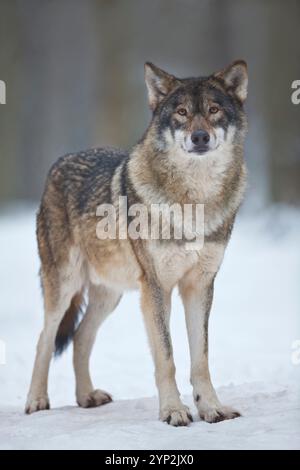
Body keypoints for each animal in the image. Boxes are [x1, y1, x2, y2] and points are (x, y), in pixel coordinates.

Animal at [25, 59, 247, 426]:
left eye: (214, 110)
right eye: (182, 112)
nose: (200, 137)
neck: (194, 201)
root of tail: (58, 163)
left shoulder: (199, 286)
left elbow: (200, 358)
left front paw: (211, 408)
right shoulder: (157, 288)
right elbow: (167, 356)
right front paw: (173, 411)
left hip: (110, 295)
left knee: (81, 337)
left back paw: (87, 396)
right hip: (65, 286)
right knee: (45, 338)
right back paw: (36, 400)